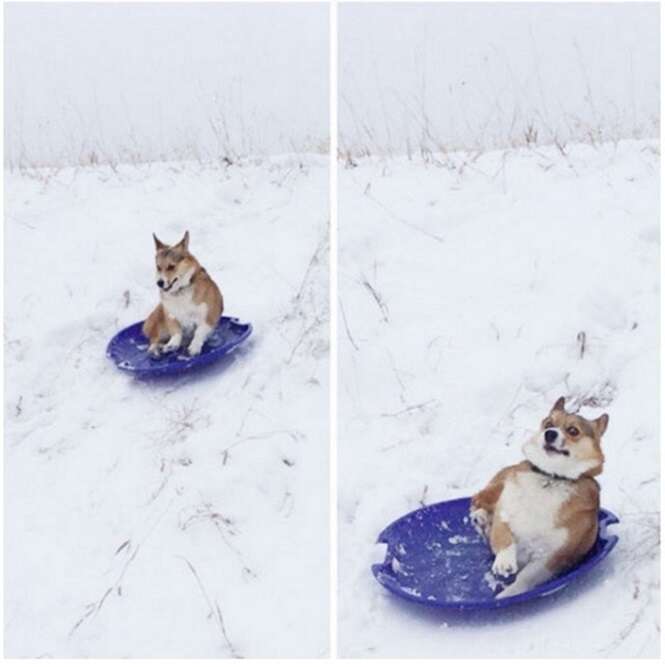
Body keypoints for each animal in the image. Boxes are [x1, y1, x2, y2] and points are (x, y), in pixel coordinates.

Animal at [466, 396, 608, 600]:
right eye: (548, 424)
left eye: (573, 430)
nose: (549, 434)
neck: (551, 477)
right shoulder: (505, 513)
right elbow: (503, 537)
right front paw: (504, 562)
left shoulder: (551, 556)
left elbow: (525, 578)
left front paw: (509, 594)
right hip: (498, 485)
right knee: (477, 500)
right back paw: (481, 518)